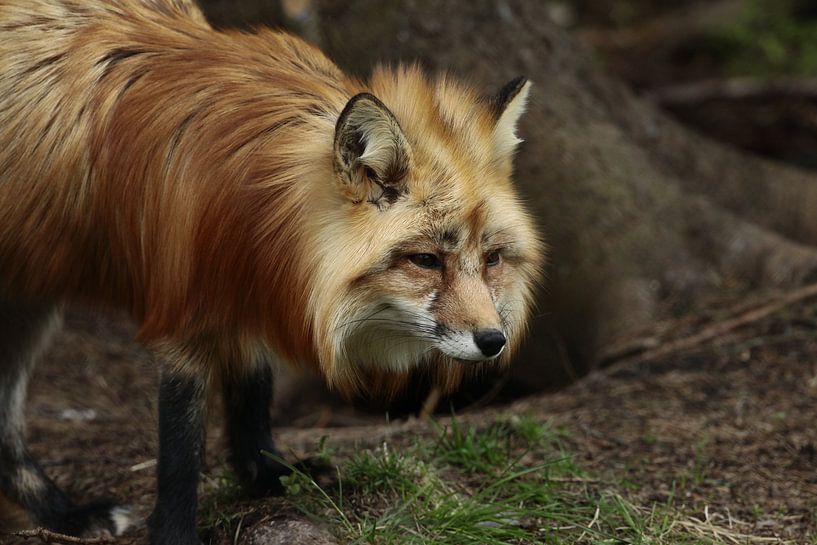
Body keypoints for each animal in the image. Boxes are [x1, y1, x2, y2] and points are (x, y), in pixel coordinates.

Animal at [0, 0, 543, 542]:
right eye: (426, 260)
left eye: (492, 259)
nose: (493, 340)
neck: (257, 202)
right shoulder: (182, 312)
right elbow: (181, 450)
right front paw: (174, 531)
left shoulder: (252, 288)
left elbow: (251, 398)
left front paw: (267, 477)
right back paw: (67, 515)